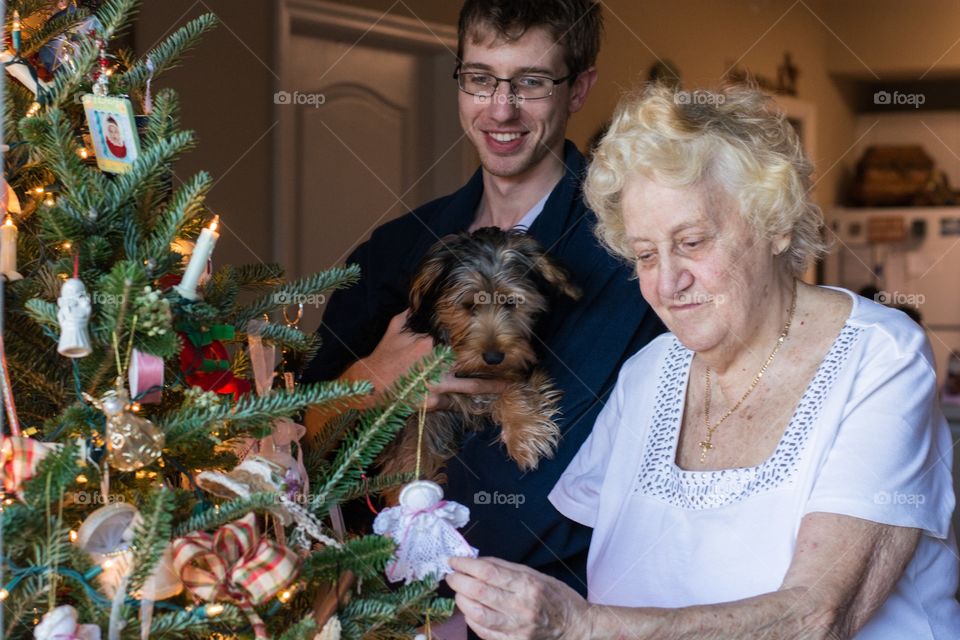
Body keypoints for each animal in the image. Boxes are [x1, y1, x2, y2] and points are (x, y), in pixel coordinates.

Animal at [380, 226, 576, 484]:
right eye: (468, 305)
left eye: (511, 303)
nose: (493, 358)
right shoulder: (419, 414)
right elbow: (411, 449)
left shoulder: (516, 362)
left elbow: (511, 384)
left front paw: (524, 432)